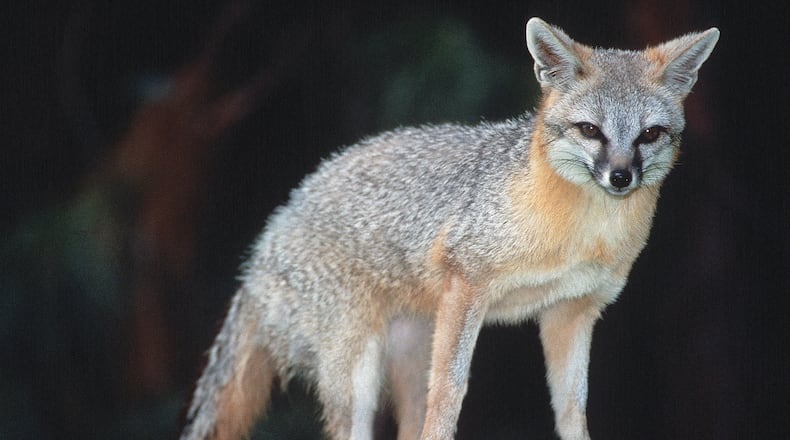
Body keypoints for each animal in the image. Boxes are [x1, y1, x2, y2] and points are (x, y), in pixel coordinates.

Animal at [181, 17, 719, 440]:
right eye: (591, 131)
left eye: (649, 135)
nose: (621, 177)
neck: (582, 234)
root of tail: (265, 242)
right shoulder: (467, 283)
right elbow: (451, 389)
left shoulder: (571, 311)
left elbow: (571, 406)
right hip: (359, 372)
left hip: (411, 349)